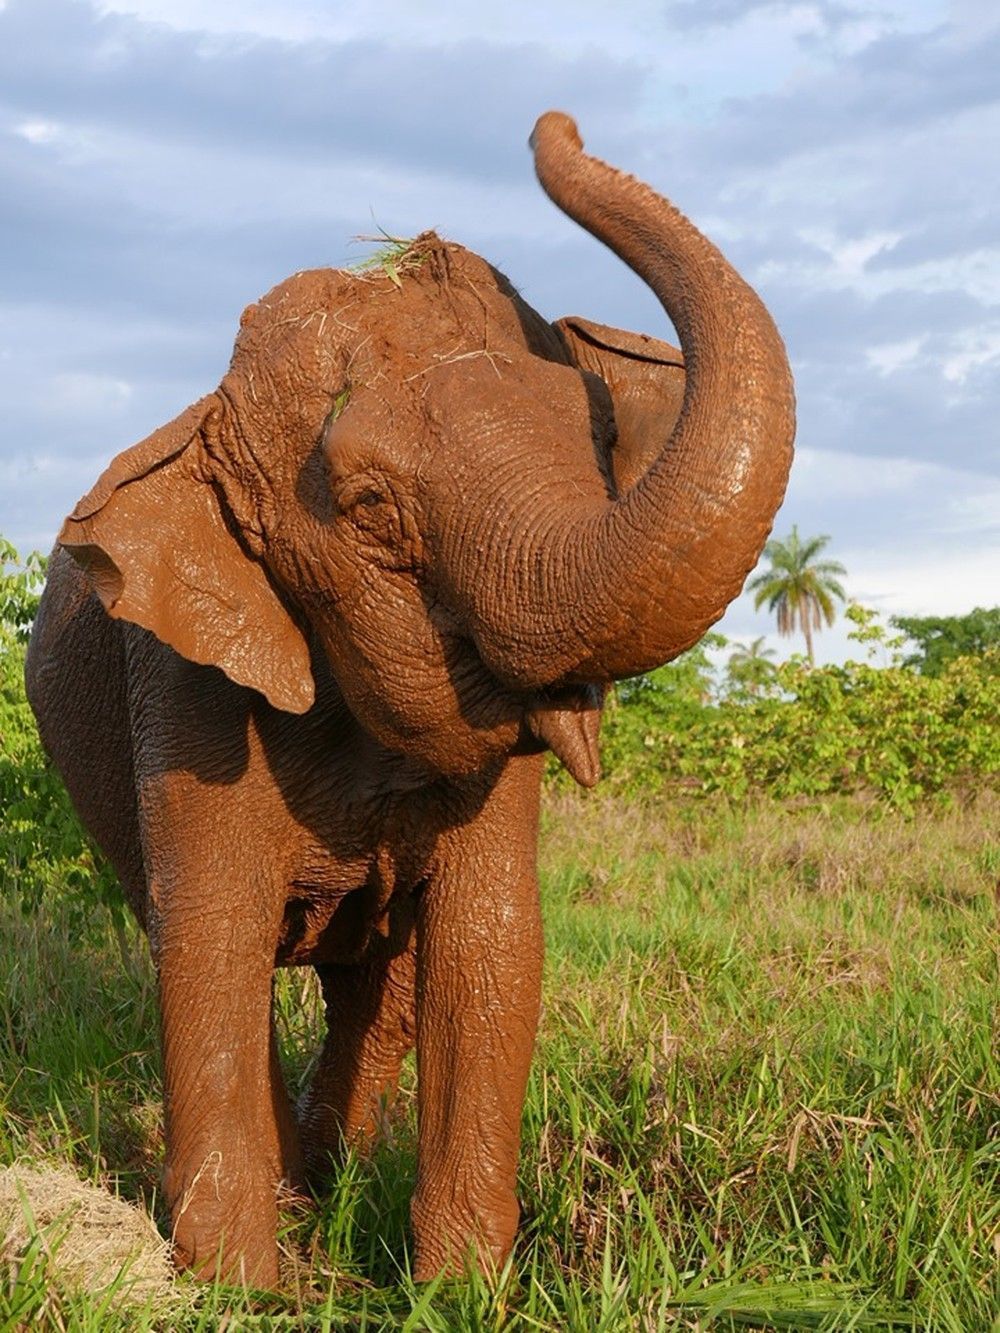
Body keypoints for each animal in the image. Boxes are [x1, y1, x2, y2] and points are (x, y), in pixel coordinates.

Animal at [25, 111, 800, 1279]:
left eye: (601, 442)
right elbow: (213, 933)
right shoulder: (178, 677)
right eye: (370, 510)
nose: (555, 123)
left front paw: (459, 1290)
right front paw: (244, 1288)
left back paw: (334, 1173)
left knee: (374, 987)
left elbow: (489, 939)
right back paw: (300, 1197)